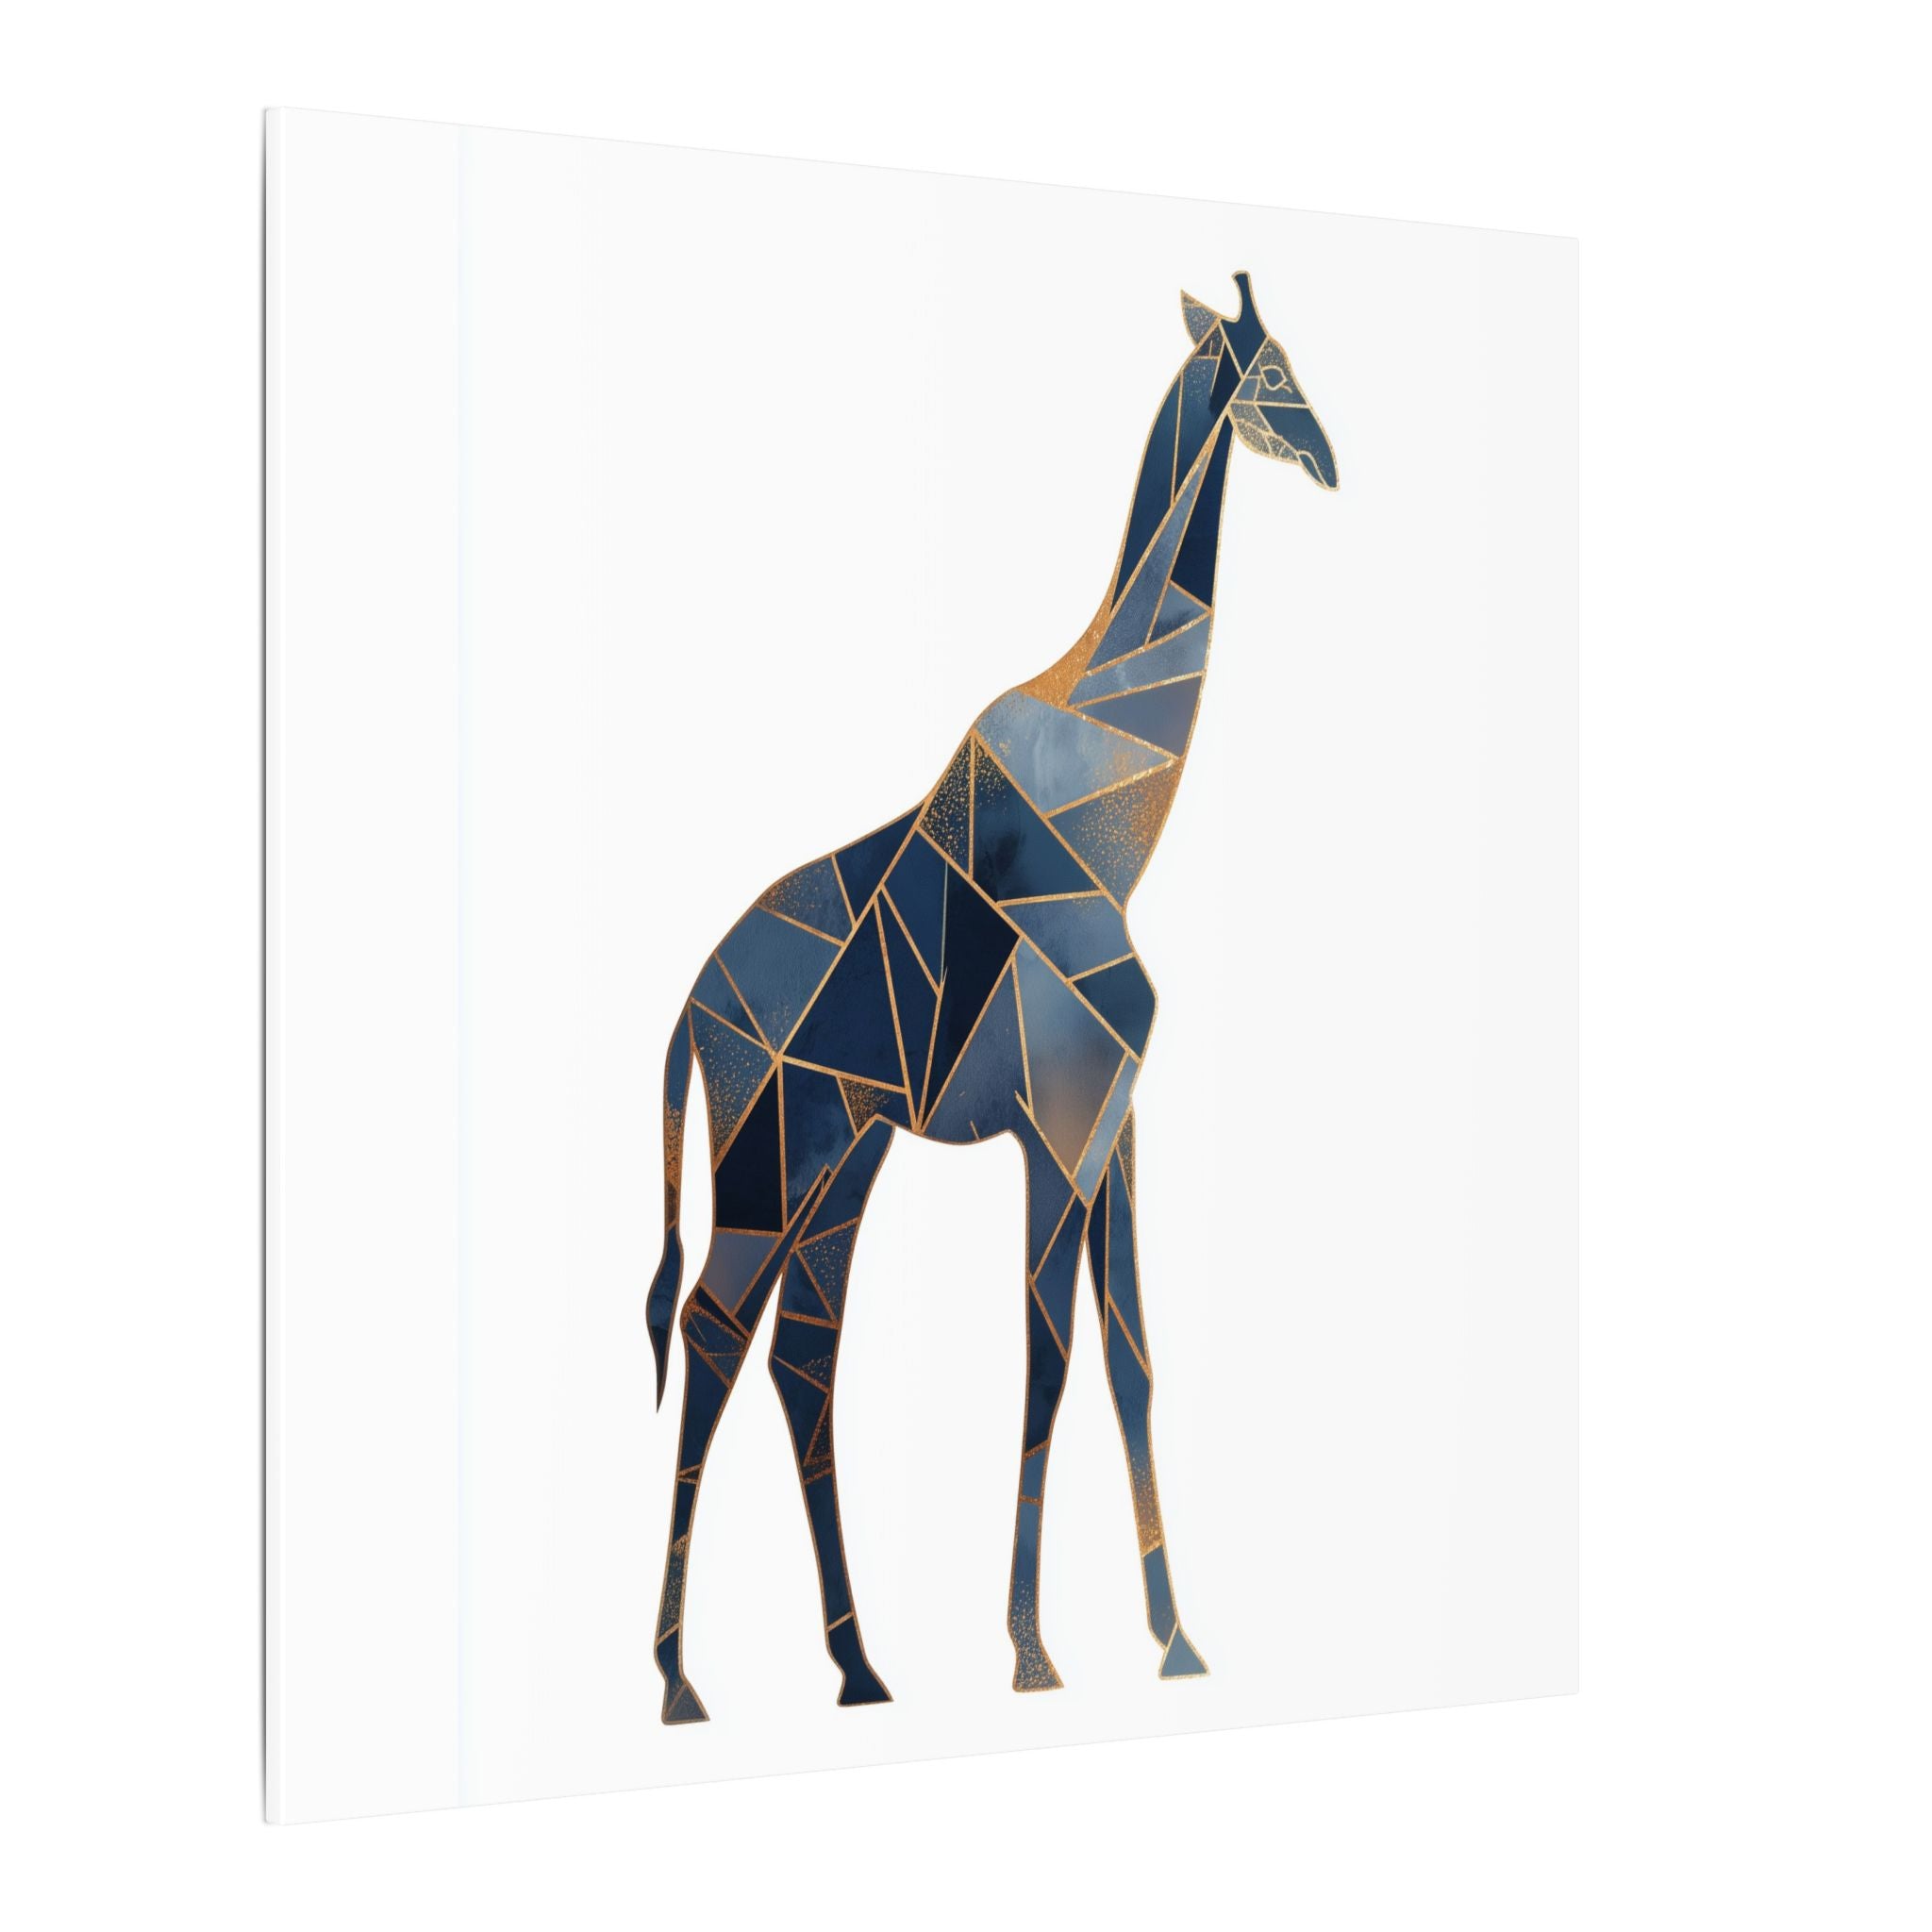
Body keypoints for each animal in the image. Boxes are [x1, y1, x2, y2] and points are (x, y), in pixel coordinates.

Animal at [645, 272, 1337, 1725]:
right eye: (1272, 370)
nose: (1330, 459)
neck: (1118, 811)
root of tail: (685, 1014)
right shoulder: (1058, 1126)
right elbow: (1049, 1360)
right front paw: (1030, 1653)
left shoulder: (1115, 1122)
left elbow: (1132, 1359)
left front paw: (1174, 1639)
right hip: (771, 1156)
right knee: (714, 1332)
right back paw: (680, 1679)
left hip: (842, 1159)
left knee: (801, 1352)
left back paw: (858, 1666)